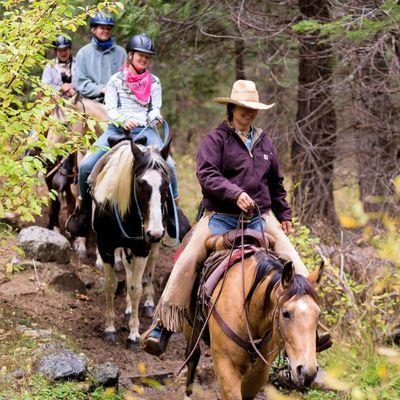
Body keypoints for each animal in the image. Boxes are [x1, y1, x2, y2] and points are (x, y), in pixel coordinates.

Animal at [89, 137, 172, 346]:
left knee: (149, 270)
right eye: (141, 183)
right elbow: (111, 285)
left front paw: (134, 334)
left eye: (166, 183)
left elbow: (136, 288)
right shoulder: (105, 247)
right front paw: (109, 328)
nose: (155, 232)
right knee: (127, 270)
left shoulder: (142, 247)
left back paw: (148, 303)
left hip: (151, 247)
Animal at [183, 233, 324, 398]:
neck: (247, 311)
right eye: (286, 313)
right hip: (190, 327)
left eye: (318, 315)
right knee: (193, 356)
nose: (308, 373)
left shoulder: (259, 374)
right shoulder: (225, 367)